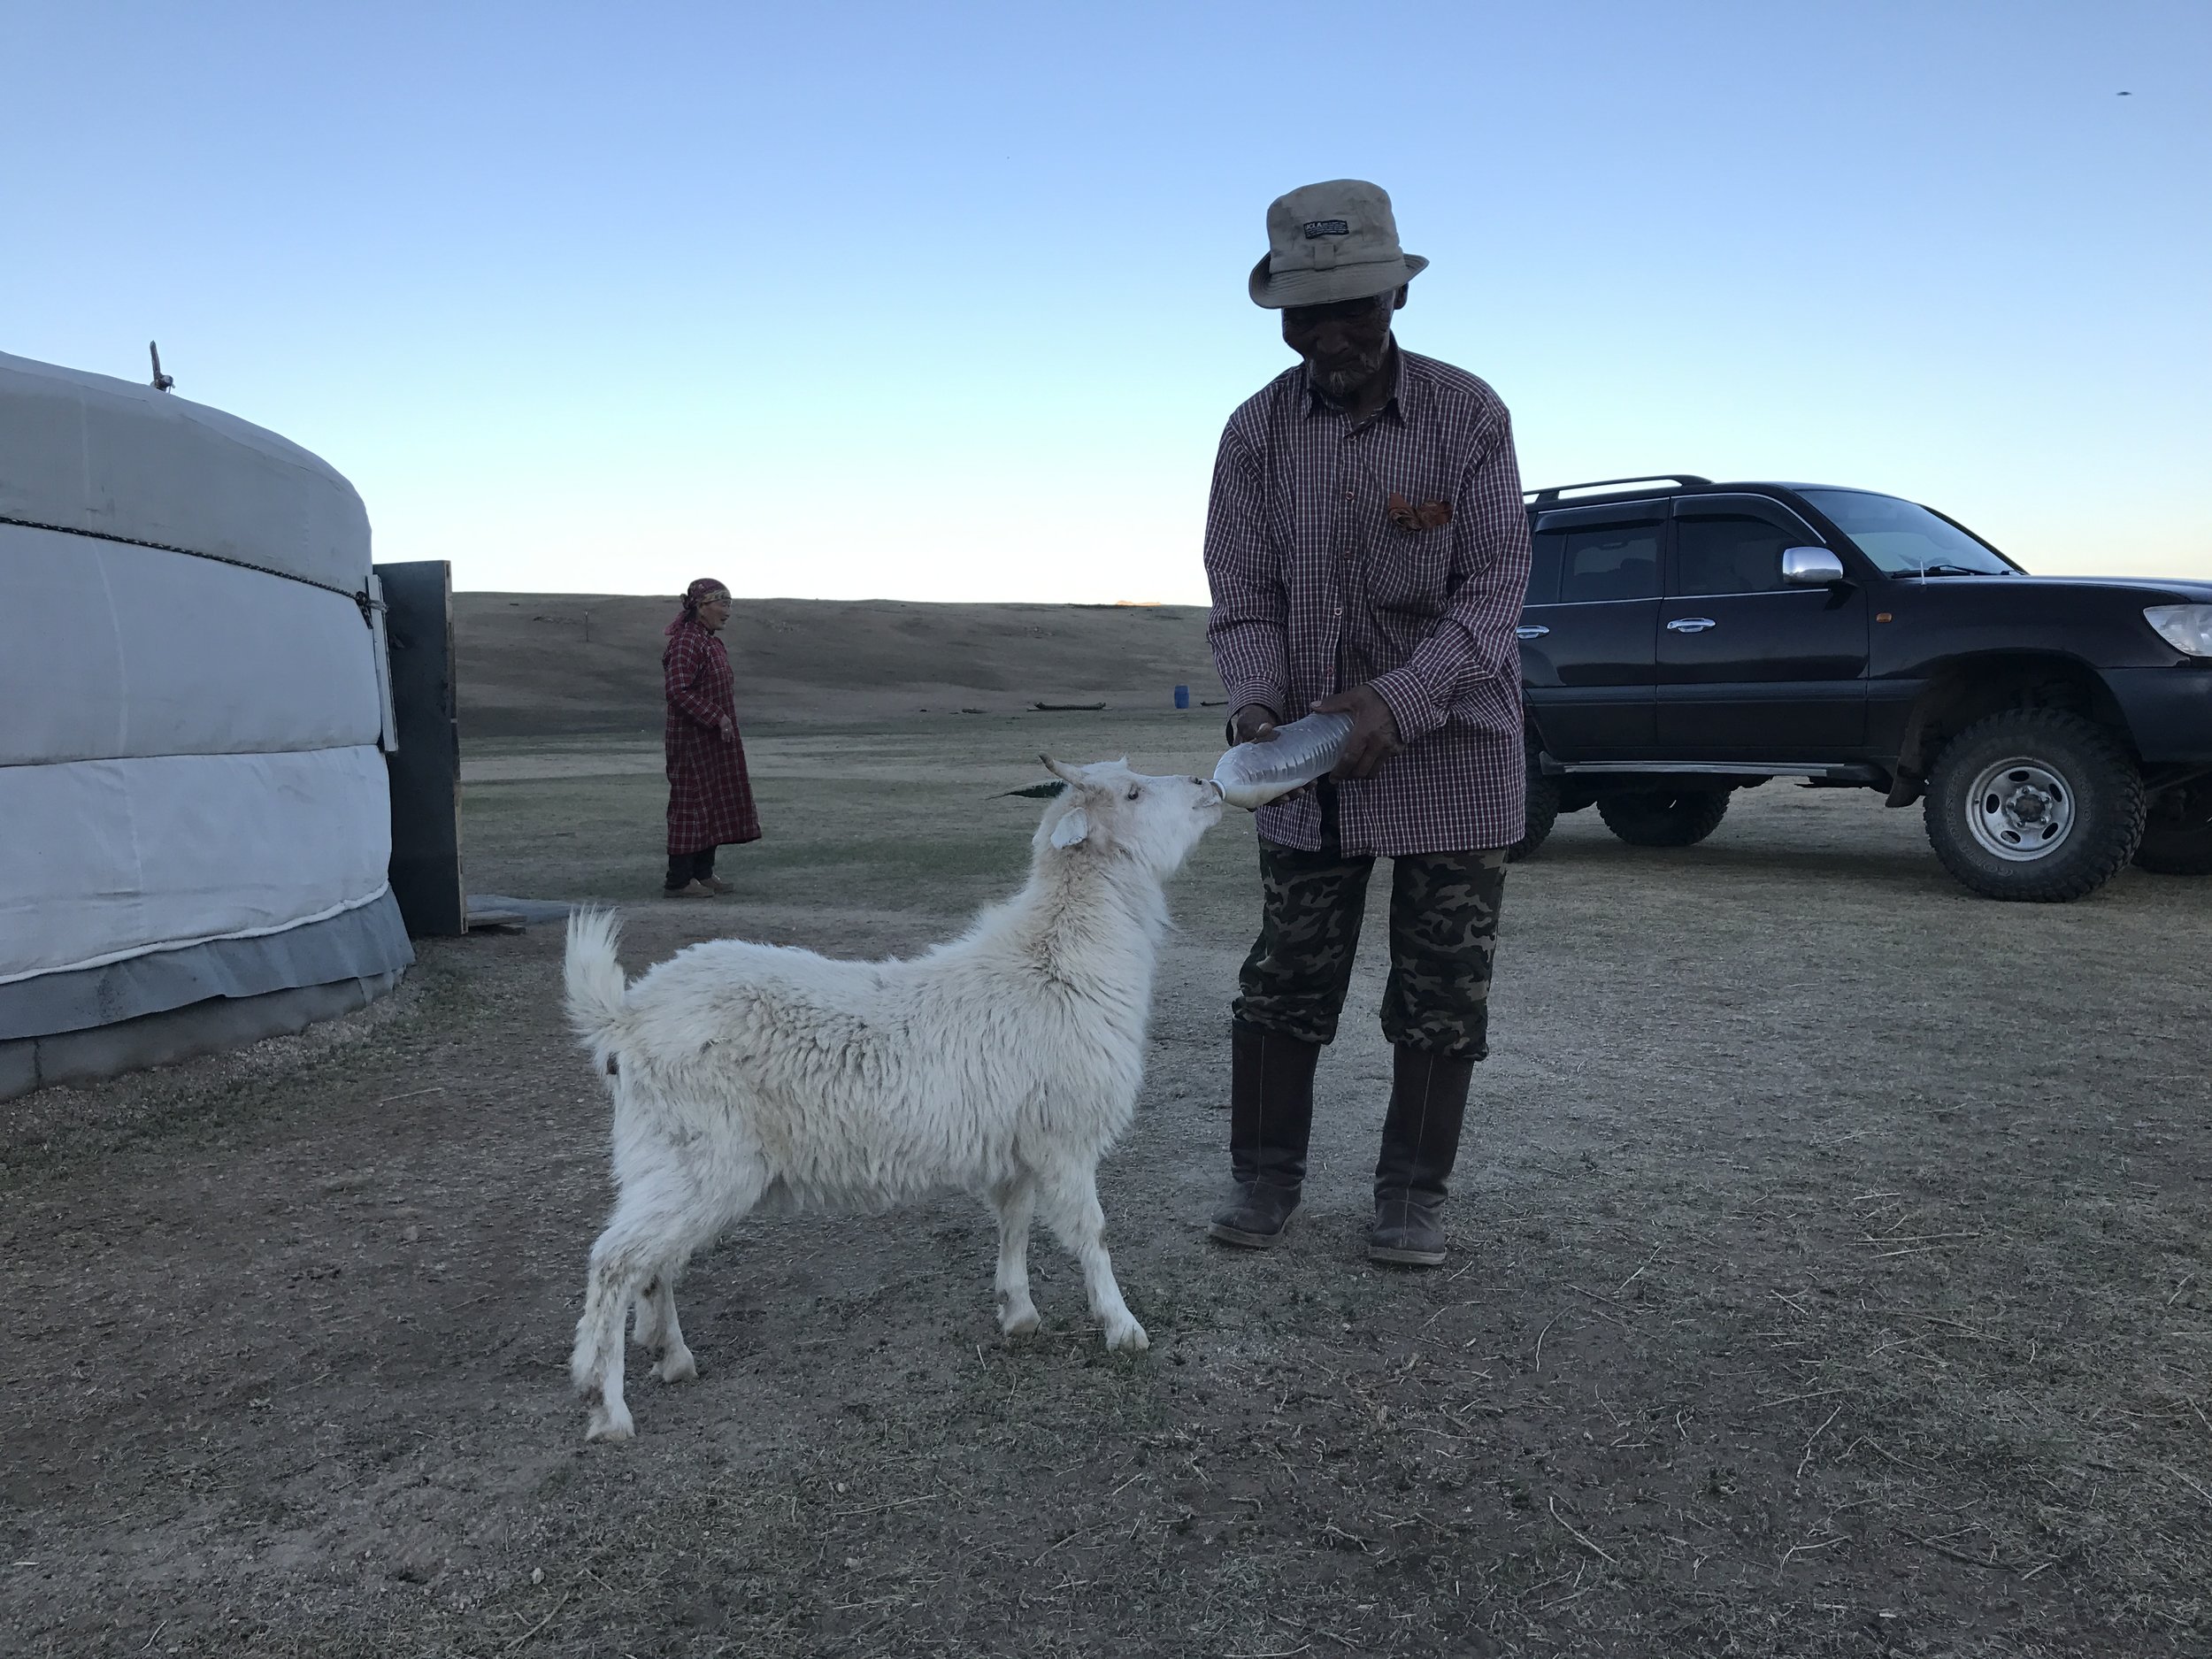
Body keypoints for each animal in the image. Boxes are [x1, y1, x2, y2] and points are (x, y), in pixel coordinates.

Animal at [562, 756, 1223, 1440]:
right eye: (1133, 793)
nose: (1210, 785)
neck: (1055, 960)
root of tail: (625, 1016)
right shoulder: (1064, 1138)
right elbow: (1093, 1233)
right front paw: (1122, 1326)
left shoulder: (1019, 1143)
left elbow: (1014, 1223)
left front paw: (1018, 1311)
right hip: (699, 1158)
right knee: (615, 1260)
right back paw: (607, 1405)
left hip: (667, 1160)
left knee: (654, 1261)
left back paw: (671, 1354)